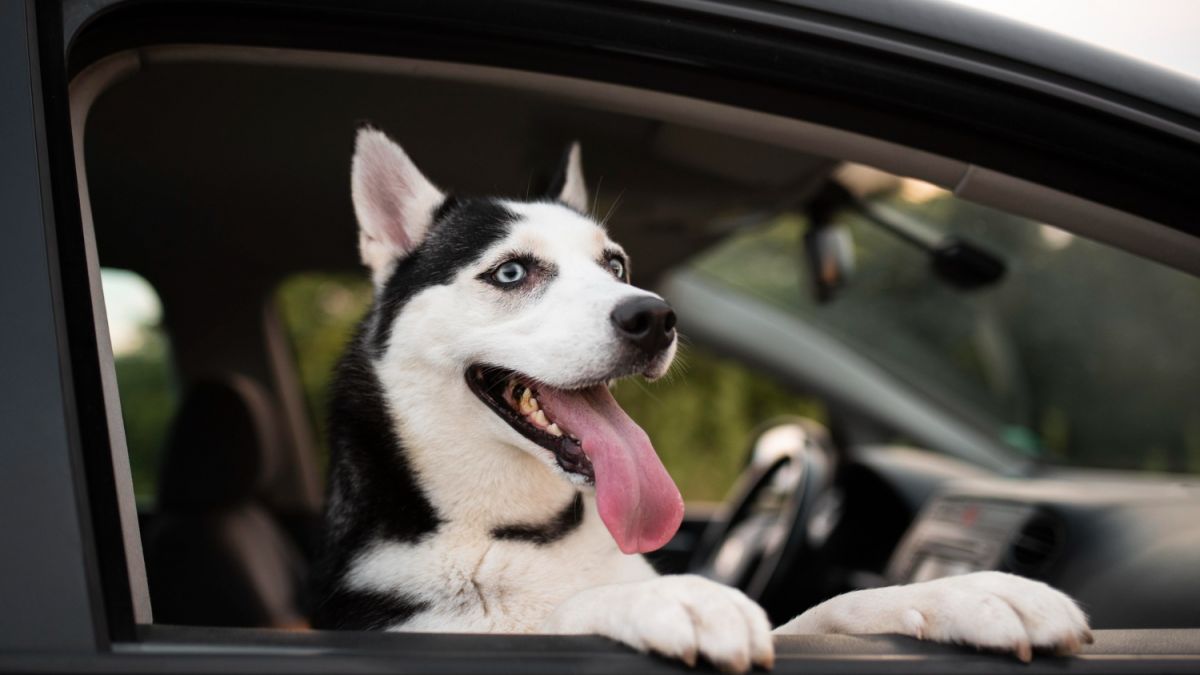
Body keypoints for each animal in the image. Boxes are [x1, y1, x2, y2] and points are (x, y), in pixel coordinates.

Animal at [312, 127, 1099, 667]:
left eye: (616, 264)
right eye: (511, 272)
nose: (653, 316)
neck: (524, 532)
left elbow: (834, 605)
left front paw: (970, 593)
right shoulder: (420, 630)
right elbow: (568, 613)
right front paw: (667, 596)